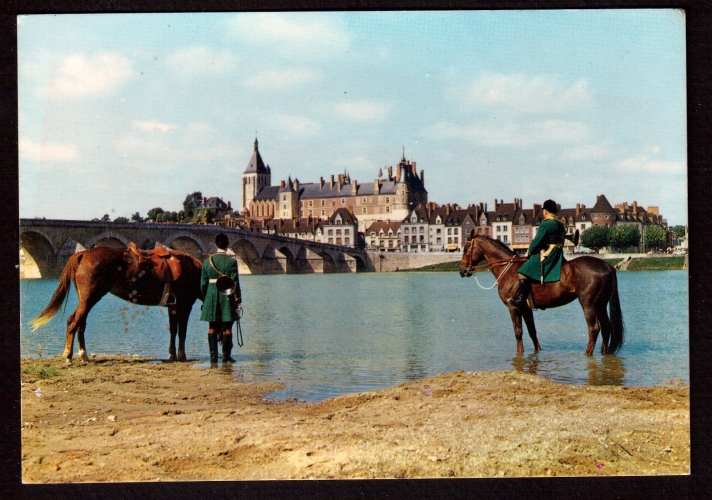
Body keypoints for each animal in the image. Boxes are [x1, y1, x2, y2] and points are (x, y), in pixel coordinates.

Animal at [31, 243, 203, 364]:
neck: (193, 270)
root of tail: (84, 253)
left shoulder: (172, 307)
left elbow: (173, 331)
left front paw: (172, 354)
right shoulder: (184, 306)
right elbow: (182, 332)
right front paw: (181, 355)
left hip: (85, 301)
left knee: (79, 323)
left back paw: (84, 355)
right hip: (89, 299)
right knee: (74, 323)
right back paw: (68, 355)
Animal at [462, 234, 624, 356]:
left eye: (466, 248)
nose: (462, 270)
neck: (509, 269)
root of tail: (607, 265)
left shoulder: (513, 308)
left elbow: (518, 332)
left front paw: (520, 353)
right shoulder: (526, 309)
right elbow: (532, 331)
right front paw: (537, 350)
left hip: (588, 305)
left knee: (594, 329)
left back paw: (588, 353)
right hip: (600, 305)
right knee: (606, 327)